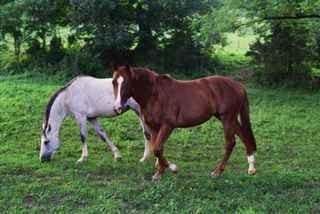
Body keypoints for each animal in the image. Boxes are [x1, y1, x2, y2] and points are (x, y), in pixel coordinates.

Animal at [112, 65, 258, 181]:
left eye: (126, 83)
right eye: (113, 82)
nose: (117, 107)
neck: (154, 95)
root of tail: (239, 86)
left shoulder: (167, 126)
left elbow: (157, 149)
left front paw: (173, 168)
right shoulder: (154, 128)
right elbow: (157, 149)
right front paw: (159, 173)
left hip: (227, 118)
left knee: (230, 143)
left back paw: (217, 171)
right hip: (227, 118)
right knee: (244, 137)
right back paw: (251, 168)